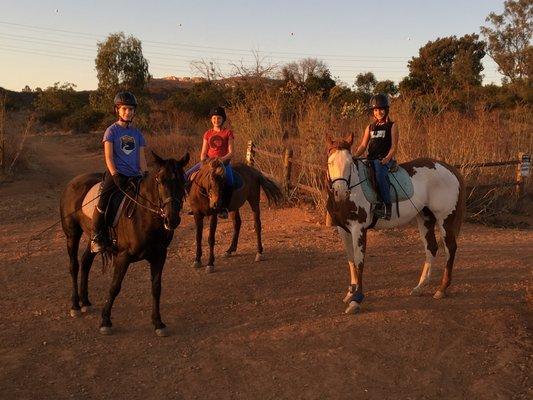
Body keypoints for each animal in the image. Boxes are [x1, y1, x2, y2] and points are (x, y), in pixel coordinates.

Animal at [59, 152, 189, 336]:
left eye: (183, 181)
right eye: (160, 180)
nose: (172, 219)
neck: (144, 216)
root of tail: (73, 182)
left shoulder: (160, 255)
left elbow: (156, 287)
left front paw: (158, 323)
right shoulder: (123, 257)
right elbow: (115, 287)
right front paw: (105, 321)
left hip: (93, 238)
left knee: (85, 262)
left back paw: (85, 302)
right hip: (72, 235)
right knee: (74, 266)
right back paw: (75, 306)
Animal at [326, 133, 464, 314]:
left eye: (350, 163)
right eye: (330, 162)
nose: (340, 191)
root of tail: (449, 169)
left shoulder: (358, 228)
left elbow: (359, 261)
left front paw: (356, 300)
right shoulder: (343, 230)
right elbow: (350, 260)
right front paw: (350, 293)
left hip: (445, 218)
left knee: (450, 248)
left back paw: (441, 289)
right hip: (425, 217)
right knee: (431, 247)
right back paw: (419, 287)